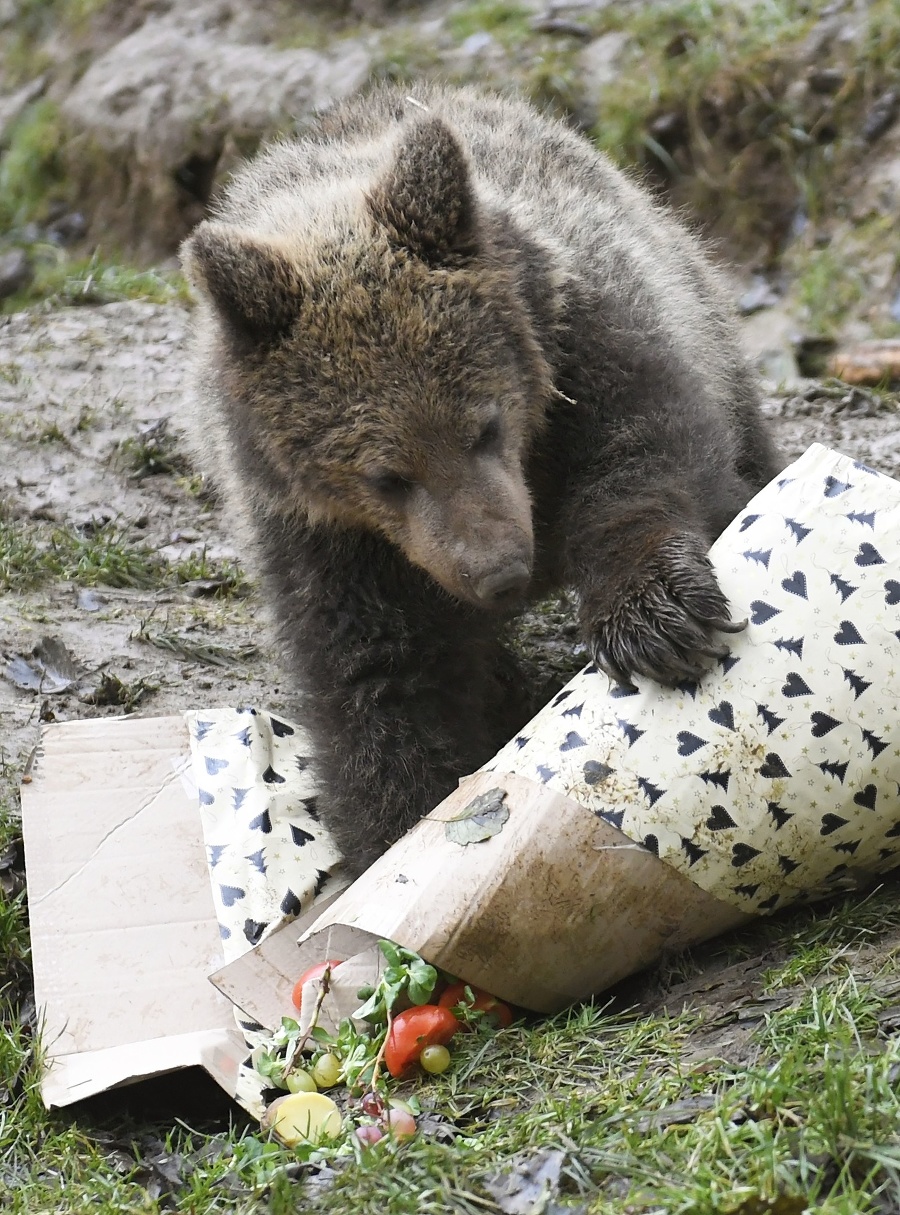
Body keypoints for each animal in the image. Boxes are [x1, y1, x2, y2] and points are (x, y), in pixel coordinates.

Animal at [180, 83, 777, 874]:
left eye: (485, 426)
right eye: (386, 475)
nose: (500, 573)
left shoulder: (591, 351)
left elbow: (645, 466)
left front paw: (655, 617)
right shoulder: (320, 534)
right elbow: (377, 674)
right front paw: (397, 824)